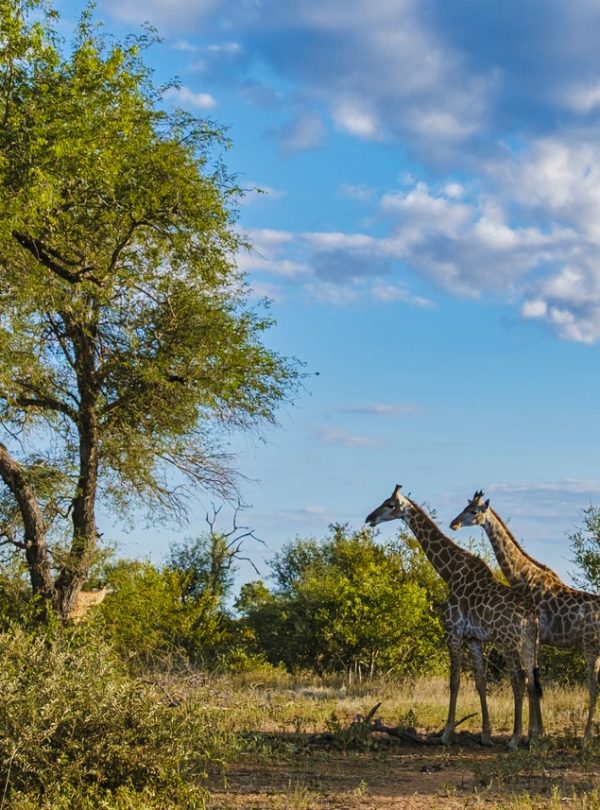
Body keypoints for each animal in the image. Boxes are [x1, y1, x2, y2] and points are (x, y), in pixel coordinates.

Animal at [366, 484, 543, 749]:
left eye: (389, 504)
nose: (370, 518)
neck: (449, 572)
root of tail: (532, 617)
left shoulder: (453, 631)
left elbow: (454, 681)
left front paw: (446, 734)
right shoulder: (474, 638)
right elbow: (480, 681)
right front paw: (485, 735)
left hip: (508, 641)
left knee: (518, 680)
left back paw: (514, 739)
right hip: (529, 643)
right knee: (531, 681)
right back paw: (531, 737)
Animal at [451, 491, 600, 743]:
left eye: (473, 511)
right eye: (464, 507)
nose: (455, 523)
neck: (524, 578)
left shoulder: (534, 635)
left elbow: (532, 681)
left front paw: (533, 733)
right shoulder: (536, 638)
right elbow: (535, 681)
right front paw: (538, 732)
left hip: (590, 644)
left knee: (593, 685)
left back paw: (587, 736)